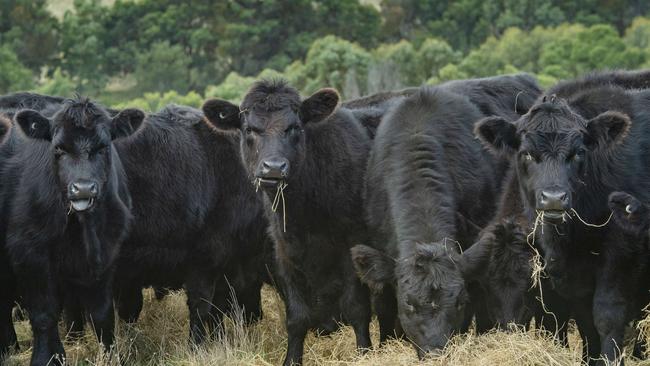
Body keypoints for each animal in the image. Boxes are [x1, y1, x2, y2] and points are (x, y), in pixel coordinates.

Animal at [1, 98, 143, 364]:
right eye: (58, 148)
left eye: (103, 147)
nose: (83, 188)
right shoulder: (30, 254)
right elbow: (44, 314)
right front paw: (45, 358)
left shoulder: (107, 252)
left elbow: (102, 314)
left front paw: (110, 355)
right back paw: (8, 348)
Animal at [202, 80, 374, 366]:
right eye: (249, 129)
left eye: (294, 127)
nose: (273, 168)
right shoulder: (283, 253)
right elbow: (296, 317)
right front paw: (291, 359)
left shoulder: (352, 243)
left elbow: (356, 307)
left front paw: (365, 353)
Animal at [470, 79, 648, 364]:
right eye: (527, 154)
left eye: (578, 153)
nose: (553, 198)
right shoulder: (571, 277)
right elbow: (586, 323)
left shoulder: (621, 251)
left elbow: (607, 316)